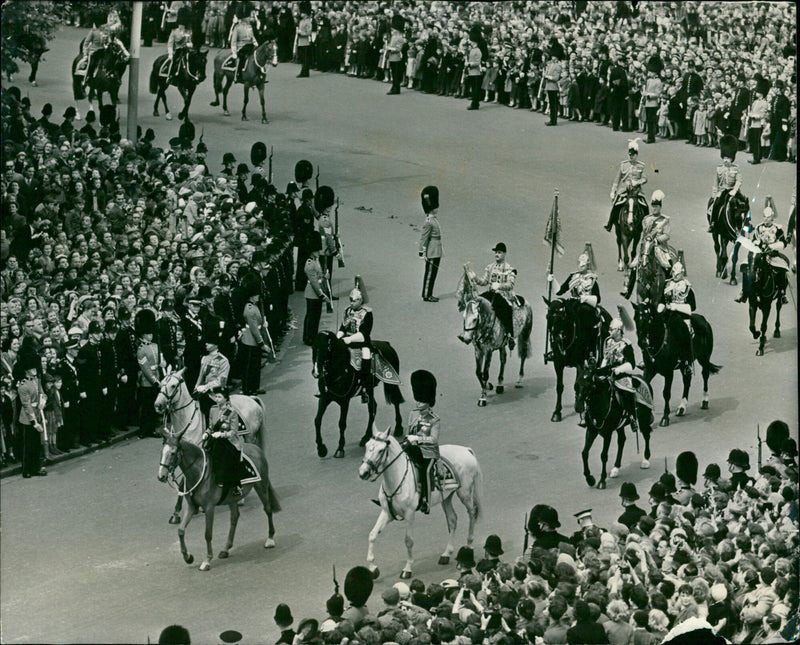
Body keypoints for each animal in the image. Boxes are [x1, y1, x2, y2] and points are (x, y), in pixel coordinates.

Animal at [157, 428, 282, 568]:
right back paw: (226, 549)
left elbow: (208, 534)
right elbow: (180, 530)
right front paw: (188, 557)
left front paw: (207, 560)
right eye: (162, 452)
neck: (199, 470)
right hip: (233, 499)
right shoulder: (192, 507)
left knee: (268, 509)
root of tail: (256, 448)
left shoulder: (209, 507)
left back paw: (270, 539)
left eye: (173, 453)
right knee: (234, 518)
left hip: (261, 486)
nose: (161, 476)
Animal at [360, 428, 484, 580]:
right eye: (367, 446)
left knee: (472, 513)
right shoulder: (387, 512)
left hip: (464, 493)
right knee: (452, 519)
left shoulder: (409, 514)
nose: (363, 472)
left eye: (381, 450)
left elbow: (408, 541)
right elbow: (372, 535)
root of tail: (466, 450)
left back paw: (469, 547)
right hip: (446, 498)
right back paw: (446, 554)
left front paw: (407, 568)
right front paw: (373, 568)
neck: (398, 478)